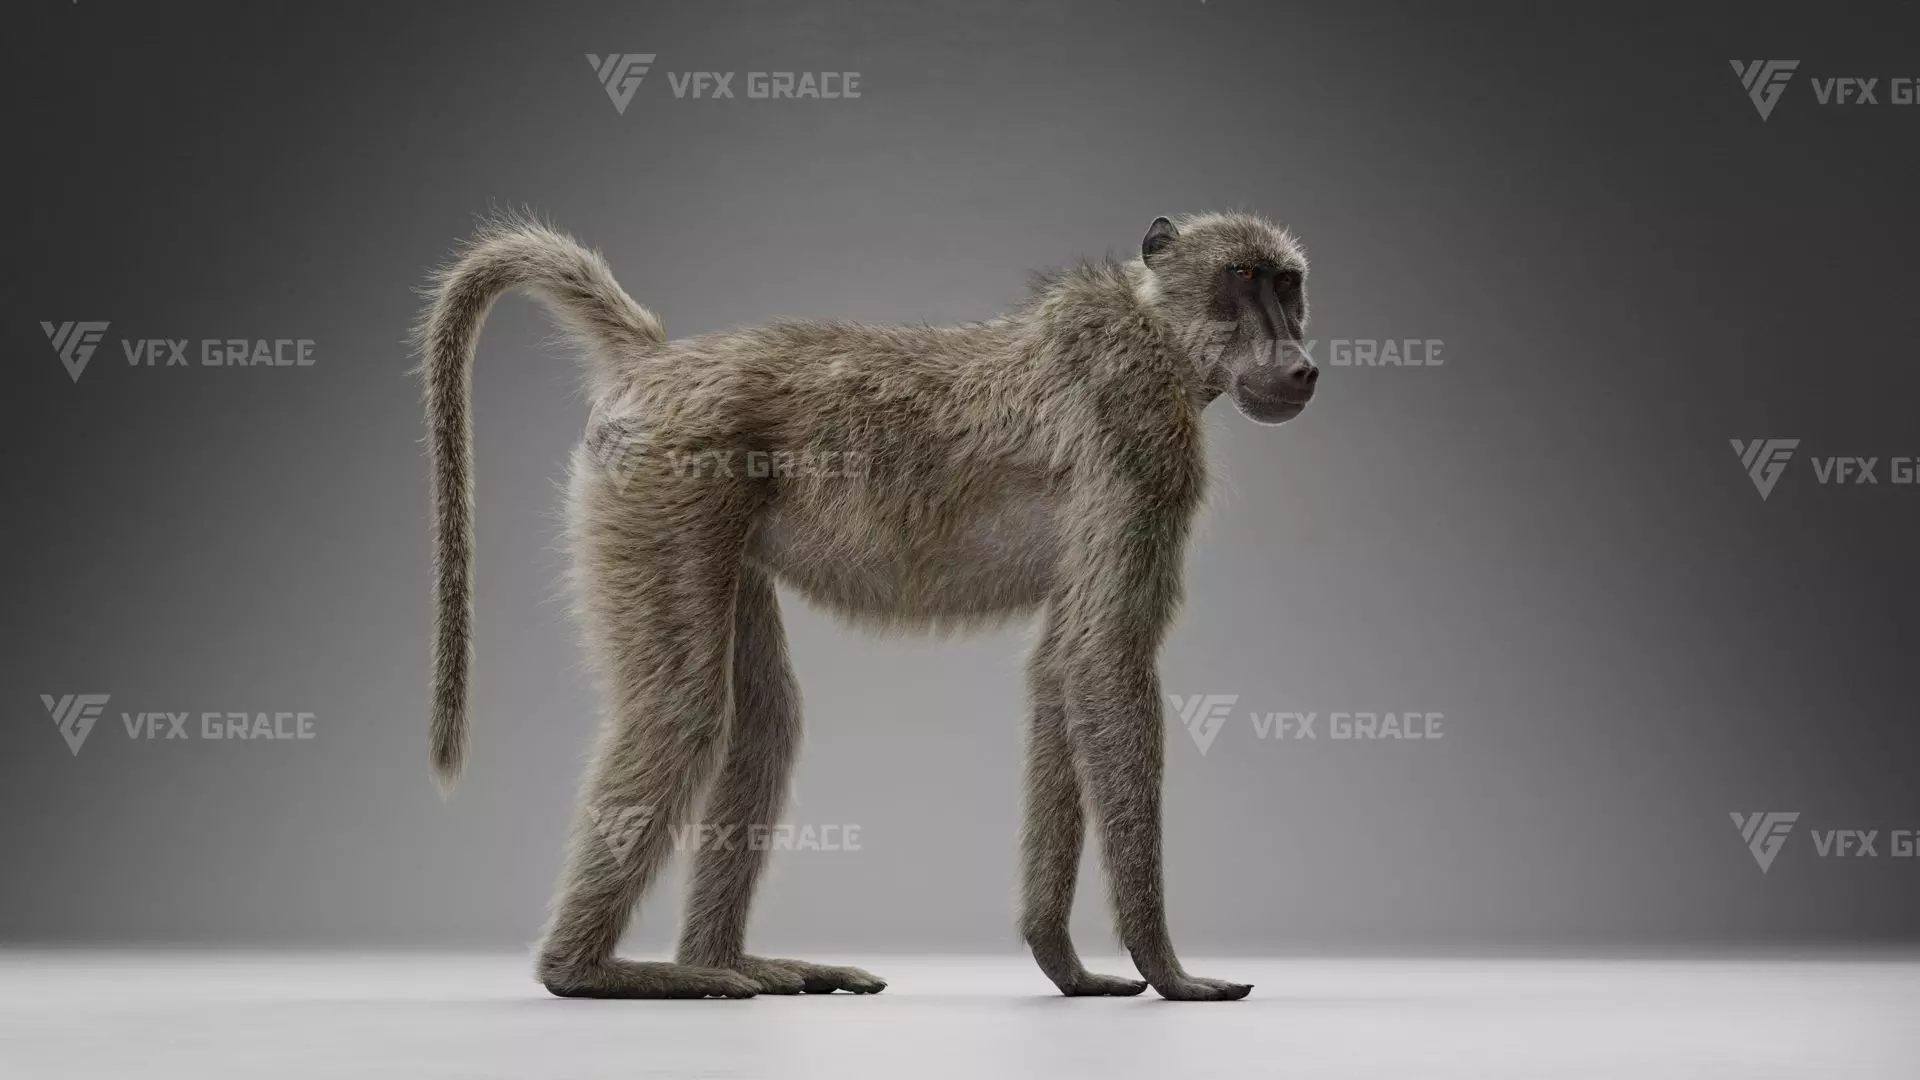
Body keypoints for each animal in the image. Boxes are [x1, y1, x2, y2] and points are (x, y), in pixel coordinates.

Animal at [416, 210, 1316, 1001]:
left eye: (1288, 284)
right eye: (1242, 280)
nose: (1301, 363)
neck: (1152, 328)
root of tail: (662, 360)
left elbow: (1063, 672)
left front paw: (1066, 967)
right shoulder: (1142, 438)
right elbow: (1106, 664)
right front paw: (1169, 971)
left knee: (764, 720)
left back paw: (730, 961)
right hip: (663, 483)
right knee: (683, 712)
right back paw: (595, 972)